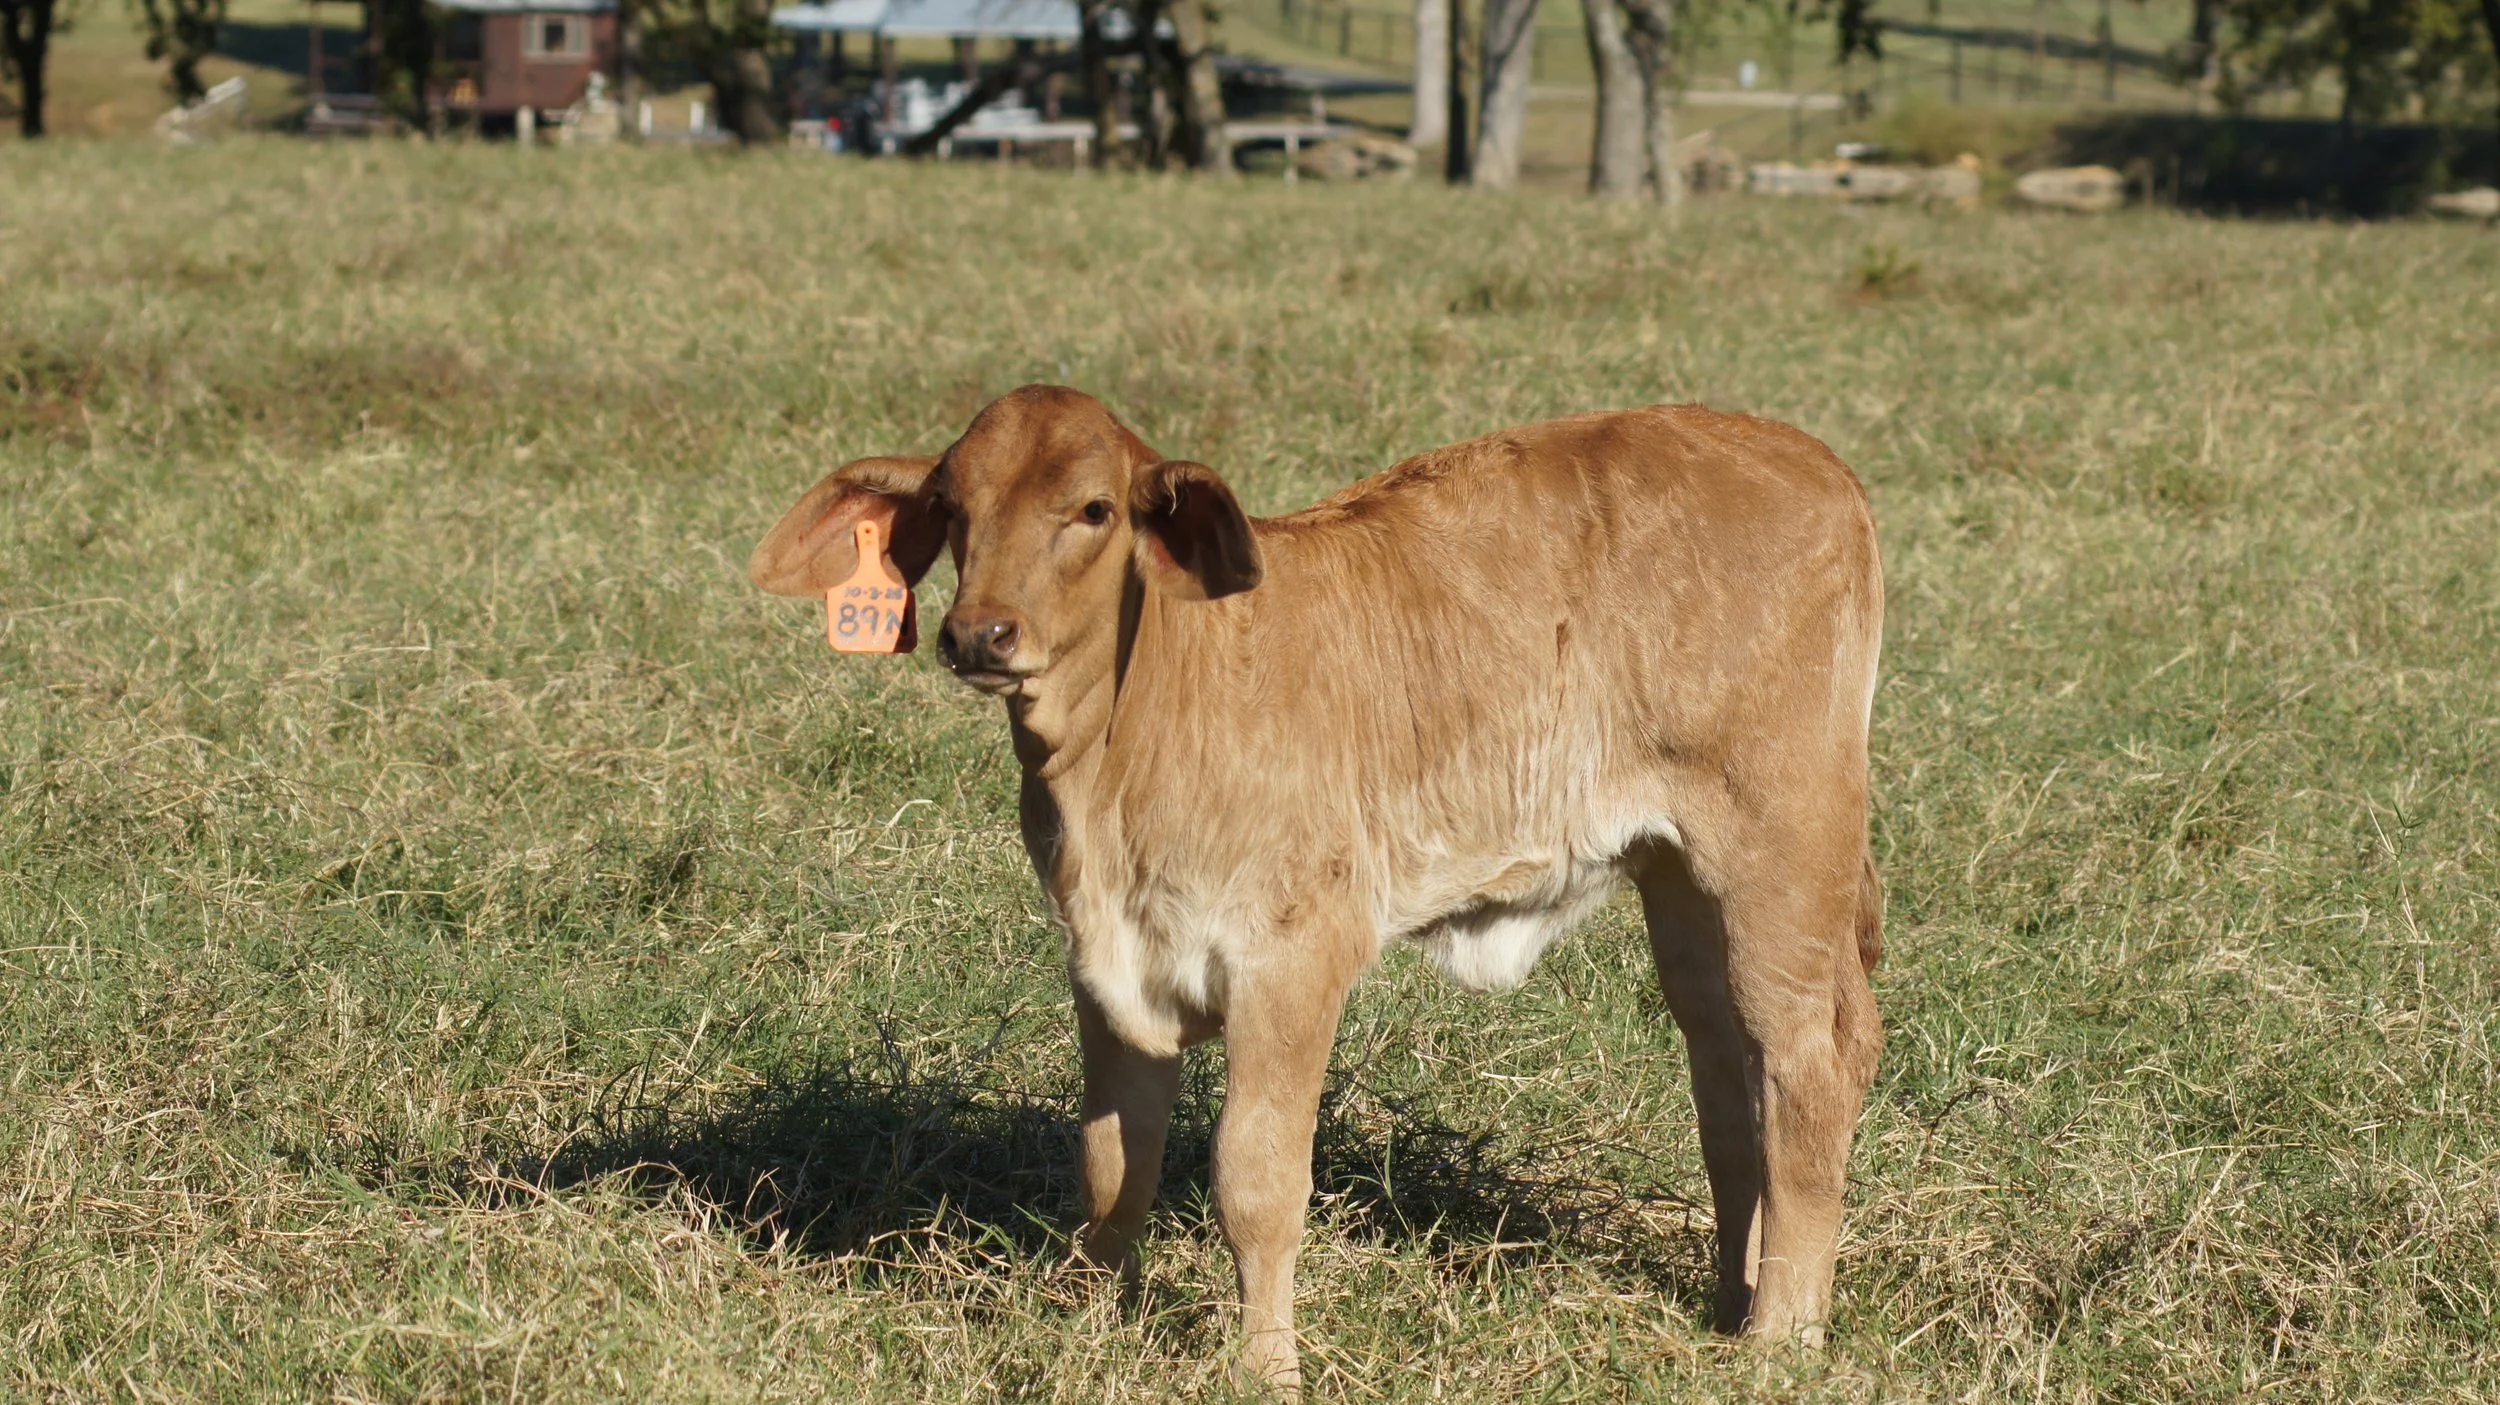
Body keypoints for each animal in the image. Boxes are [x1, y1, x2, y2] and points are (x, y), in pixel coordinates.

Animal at [750, 385, 1885, 1392]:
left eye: (1093, 509)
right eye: (951, 505)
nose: (979, 633)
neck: (1119, 757)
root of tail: (1808, 458)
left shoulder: (1291, 958)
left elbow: (1254, 1176)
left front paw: (1266, 1366)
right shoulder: (1108, 965)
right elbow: (1114, 1163)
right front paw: (1091, 1325)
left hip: (1781, 849)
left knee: (1810, 1061)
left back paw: (1781, 1336)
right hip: (1681, 876)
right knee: (1727, 1075)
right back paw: (1732, 1300)